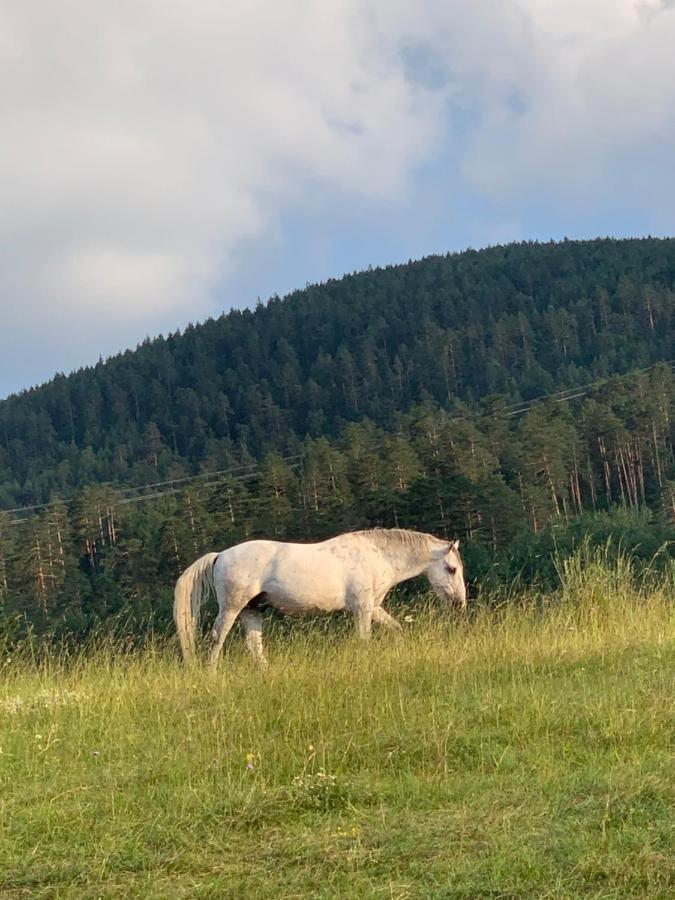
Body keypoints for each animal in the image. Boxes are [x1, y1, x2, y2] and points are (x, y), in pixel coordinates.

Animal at [174, 528, 464, 668]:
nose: (460, 603)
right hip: (232, 607)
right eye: (452, 569)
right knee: (217, 638)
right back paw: (211, 674)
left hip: (252, 610)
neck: (376, 555)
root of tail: (220, 555)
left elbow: (397, 629)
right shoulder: (362, 609)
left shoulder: (373, 608)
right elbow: (364, 639)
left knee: (254, 645)